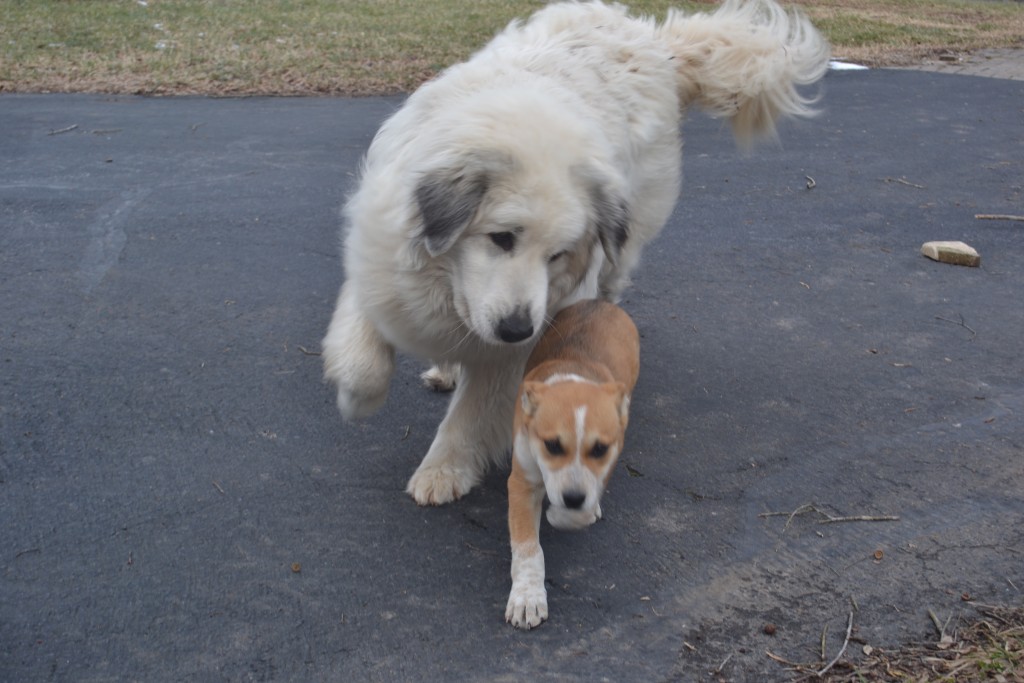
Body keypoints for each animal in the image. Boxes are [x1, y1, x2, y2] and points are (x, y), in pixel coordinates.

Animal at [323, 0, 827, 501]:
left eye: (558, 255)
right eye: (502, 238)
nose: (515, 329)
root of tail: (652, 40)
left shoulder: (516, 350)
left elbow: (470, 413)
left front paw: (443, 470)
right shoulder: (376, 257)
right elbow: (364, 358)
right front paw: (357, 398)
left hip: (621, 246)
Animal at [505, 299, 638, 630]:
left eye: (599, 449)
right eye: (552, 445)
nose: (573, 498)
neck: (573, 373)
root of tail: (600, 302)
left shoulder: (609, 458)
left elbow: (584, 505)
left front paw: (566, 514)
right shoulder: (522, 481)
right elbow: (527, 547)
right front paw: (527, 598)